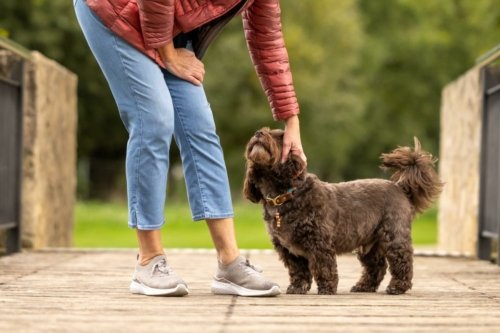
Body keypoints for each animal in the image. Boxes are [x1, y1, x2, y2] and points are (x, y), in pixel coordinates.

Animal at [242, 127, 442, 294]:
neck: (284, 195)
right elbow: (299, 271)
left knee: (403, 261)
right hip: (370, 245)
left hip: (393, 236)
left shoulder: (319, 243)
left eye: (279, 136)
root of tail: (399, 187)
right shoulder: (289, 250)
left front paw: (327, 288)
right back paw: (364, 286)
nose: (258, 133)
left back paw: (397, 287)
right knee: (376, 267)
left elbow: (324, 266)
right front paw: (298, 287)